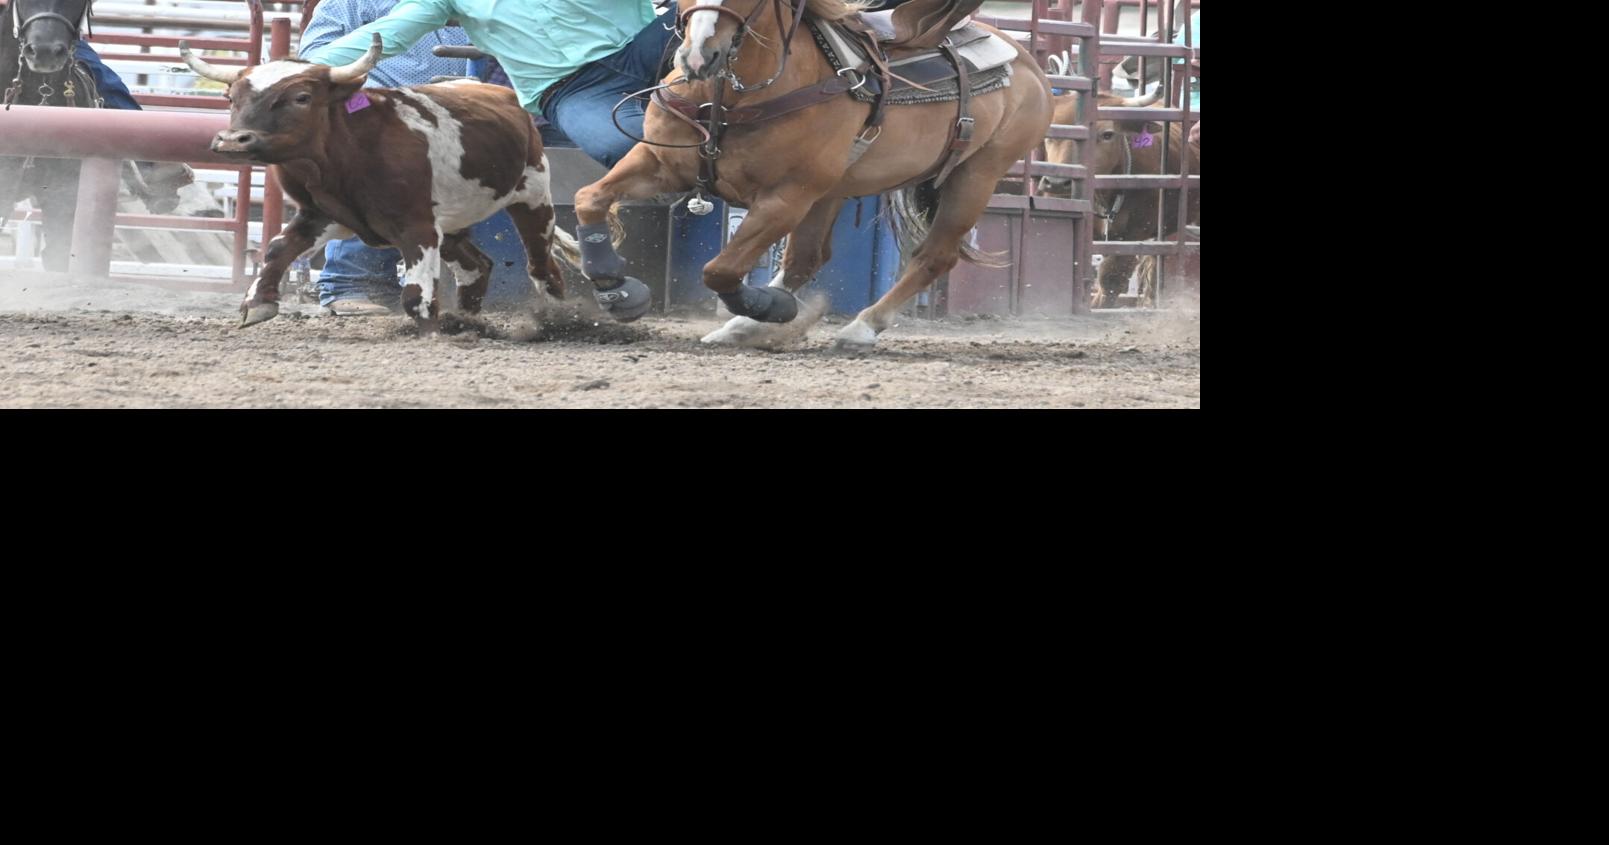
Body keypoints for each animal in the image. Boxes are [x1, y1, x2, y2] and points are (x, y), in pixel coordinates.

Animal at [576, 0, 1055, 349]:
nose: (698, 56)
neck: (729, 98)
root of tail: (1027, 61)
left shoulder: (787, 196)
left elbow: (721, 270)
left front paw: (768, 306)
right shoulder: (658, 164)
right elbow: (589, 199)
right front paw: (615, 287)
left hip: (975, 177)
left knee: (935, 256)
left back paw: (858, 328)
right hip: (833, 193)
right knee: (807, 258)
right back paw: (740, 328)